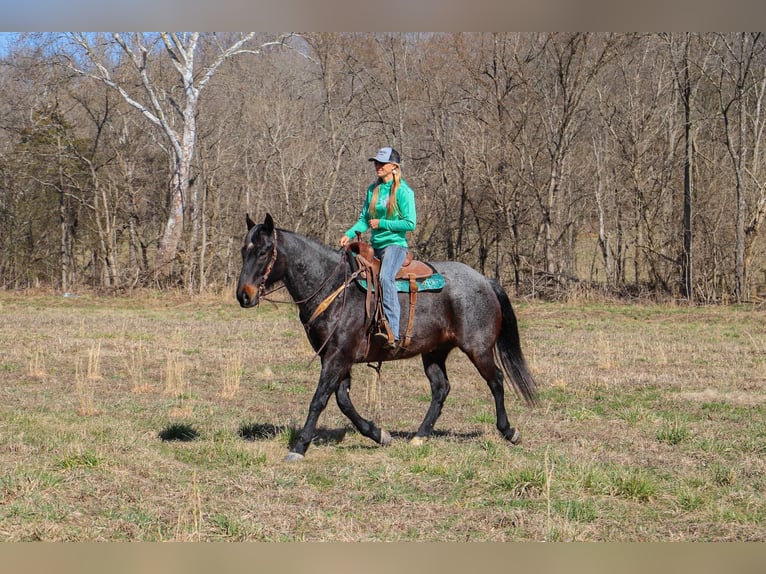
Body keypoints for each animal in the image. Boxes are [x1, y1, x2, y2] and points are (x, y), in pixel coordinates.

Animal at [237, 214, 536, 462]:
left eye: (264, 252)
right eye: (244, 251)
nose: (244, 295)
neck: (334, 287)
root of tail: (485, 280)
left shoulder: (337, 358)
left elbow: (319, 399)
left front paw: (299, 448)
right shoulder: (337, 358)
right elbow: (343, 401)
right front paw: (379, 435)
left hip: (478, 348)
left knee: (496, 380)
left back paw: (509, 431)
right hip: (434, 351)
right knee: (441, 388)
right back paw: (419, 436)